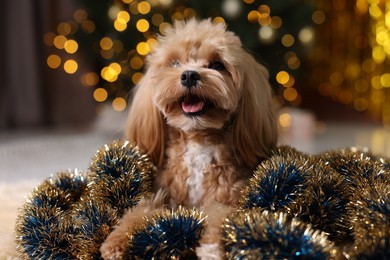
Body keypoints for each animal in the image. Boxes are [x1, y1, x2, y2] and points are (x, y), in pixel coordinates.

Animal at [100, 18, 278, 258]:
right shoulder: (164, 195)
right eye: (175, 63)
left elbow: (219, 215)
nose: (189, 75)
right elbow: (139, 210)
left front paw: (212, 248)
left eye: (217, 65)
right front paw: (116, 241)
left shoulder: (229, 198)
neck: (197, 142)